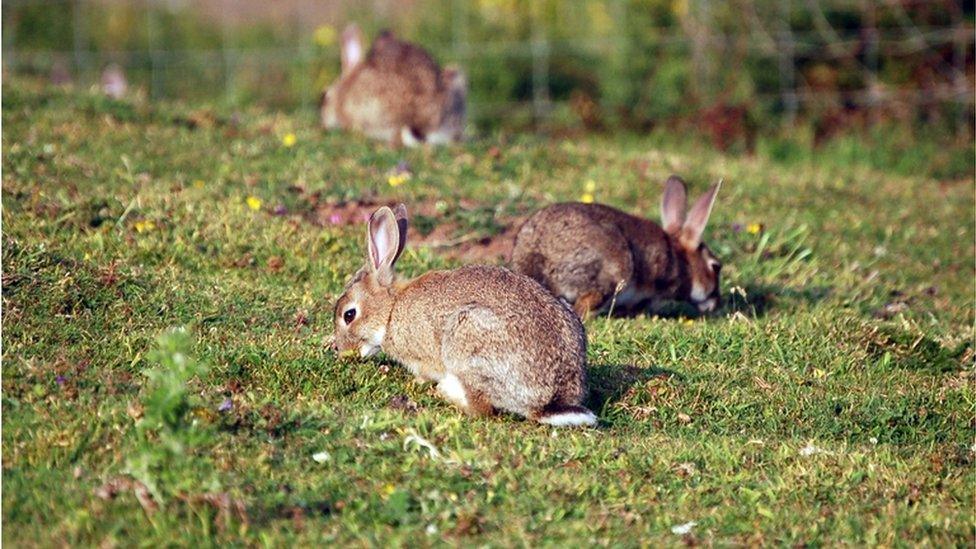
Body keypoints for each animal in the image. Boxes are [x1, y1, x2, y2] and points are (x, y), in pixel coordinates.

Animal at [332, 203, 600, 426]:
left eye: (349, 315)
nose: (341, 351)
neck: (391, 310)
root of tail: (550, 401)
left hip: (467, 339)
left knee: (482, 408)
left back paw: (447, 392)